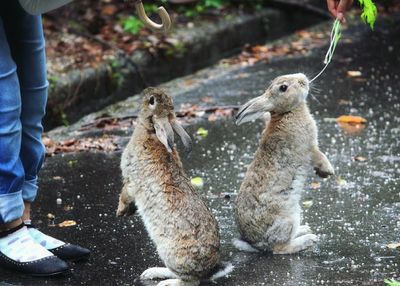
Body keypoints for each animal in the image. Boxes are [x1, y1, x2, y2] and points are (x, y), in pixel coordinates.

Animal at [116, 87, 231, 286]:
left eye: (151, 101)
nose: (146, 91)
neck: (151, 132)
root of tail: (209, 269)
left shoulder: (131, 181)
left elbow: (125, 194)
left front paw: (120, 212)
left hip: (171, 253)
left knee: (190, 281)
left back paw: (164, 282)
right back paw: (151, 273)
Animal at [234, 72, 334, 254]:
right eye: (283, 88)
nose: (303, 79)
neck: (286, 113)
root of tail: (255, 244)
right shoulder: (310, 147)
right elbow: (320, 156)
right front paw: (328, 171)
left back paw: (304, 229)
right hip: (288, 218)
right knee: (279, 248)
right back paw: (308, 239)